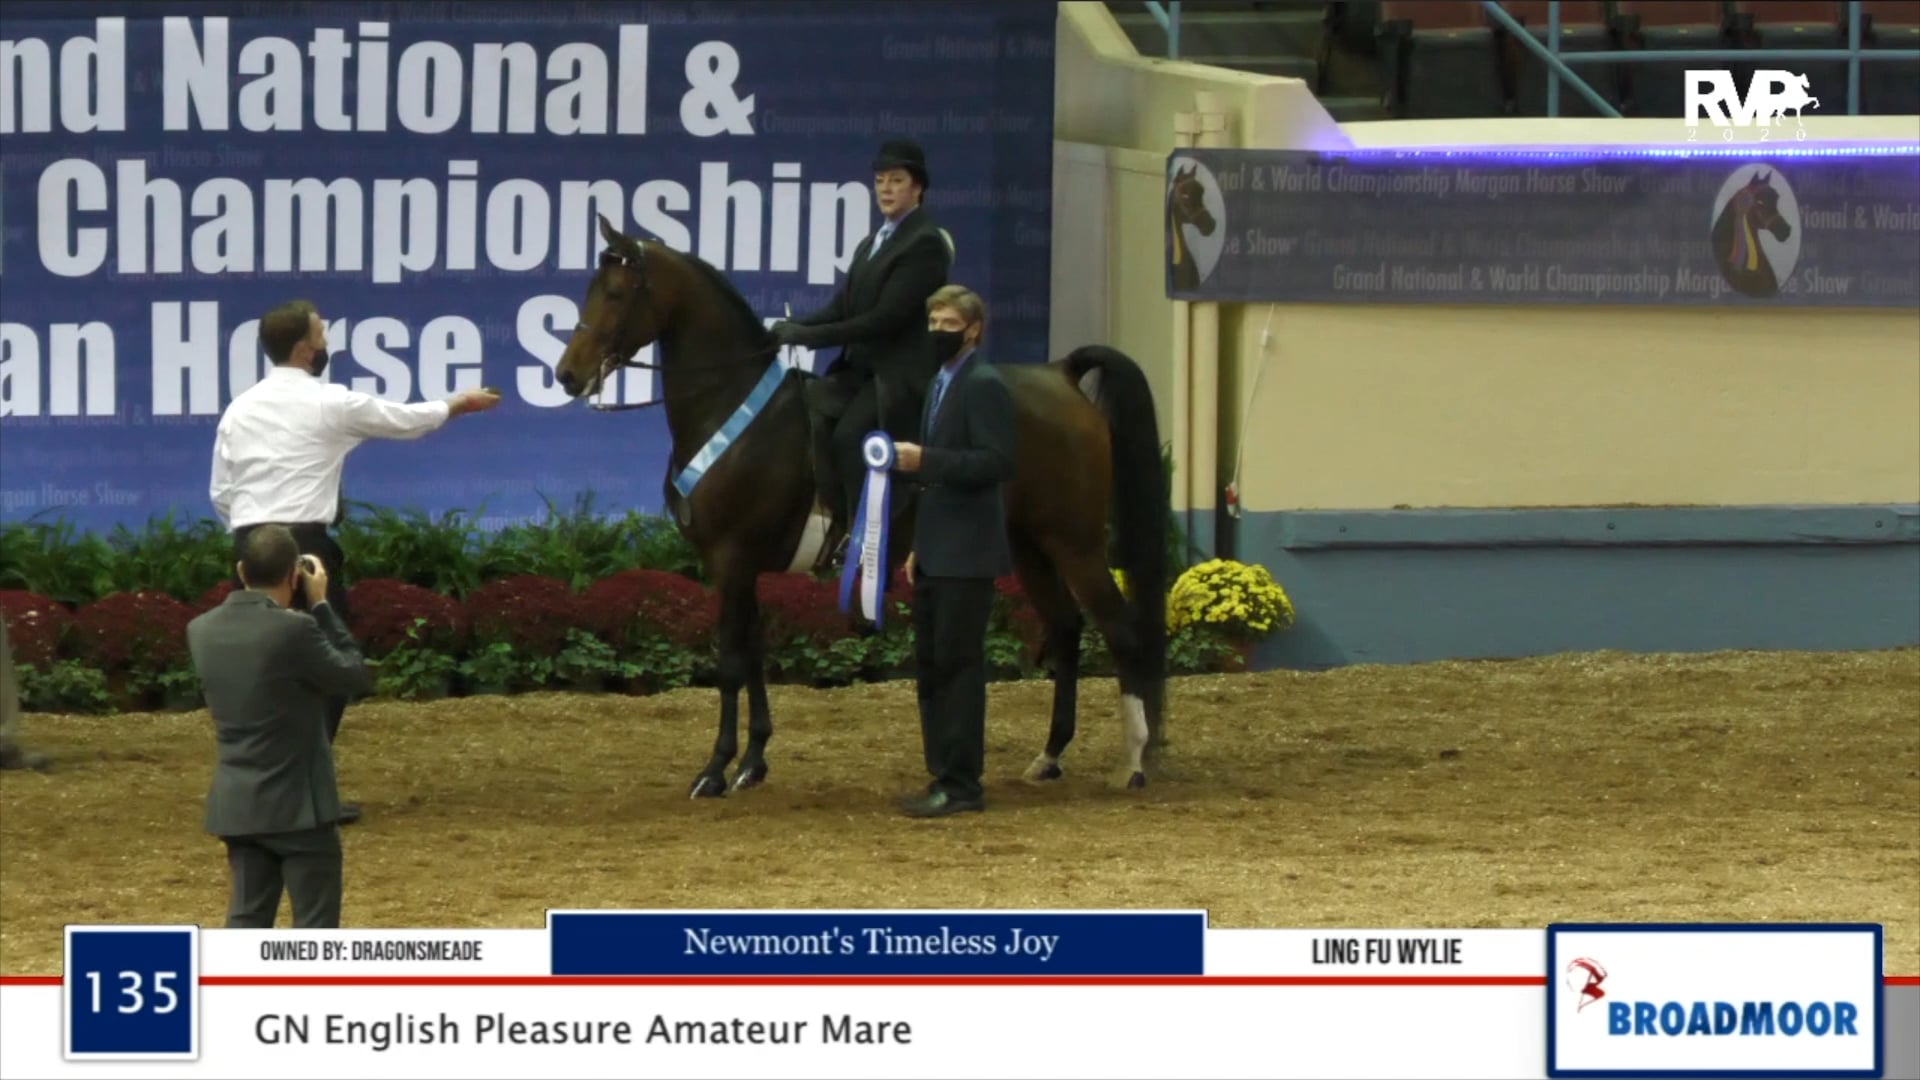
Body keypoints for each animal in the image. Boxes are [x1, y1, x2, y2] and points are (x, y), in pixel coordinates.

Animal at [553, 214, 1173, 801]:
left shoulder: (731, 557)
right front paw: (753, 763)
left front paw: (714, 771)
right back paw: (1050, 756)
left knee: (1120, 630)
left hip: (1075, 541)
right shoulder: (739, 565)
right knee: (1066, 628)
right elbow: (753, 654)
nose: (567, 375)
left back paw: (1134, 762)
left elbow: (730, 661)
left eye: (616, 292)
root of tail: (1060, 373)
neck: (732, 407)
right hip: (1030, 546)